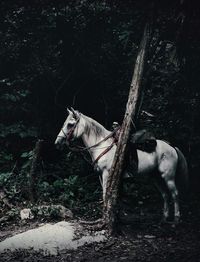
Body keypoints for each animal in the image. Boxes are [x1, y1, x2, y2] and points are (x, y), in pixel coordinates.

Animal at [55, 107, 189, 222]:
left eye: (70, 124)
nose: (57, 142)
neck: (101, 145)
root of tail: (172, 147)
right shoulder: (100, 176)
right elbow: (105, 195)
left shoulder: (106, 174)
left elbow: (106, 195)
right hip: (156, 177)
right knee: (165, 195)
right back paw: (164, 218)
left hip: (168, 177)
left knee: (175, 194)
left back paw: (176, 219)